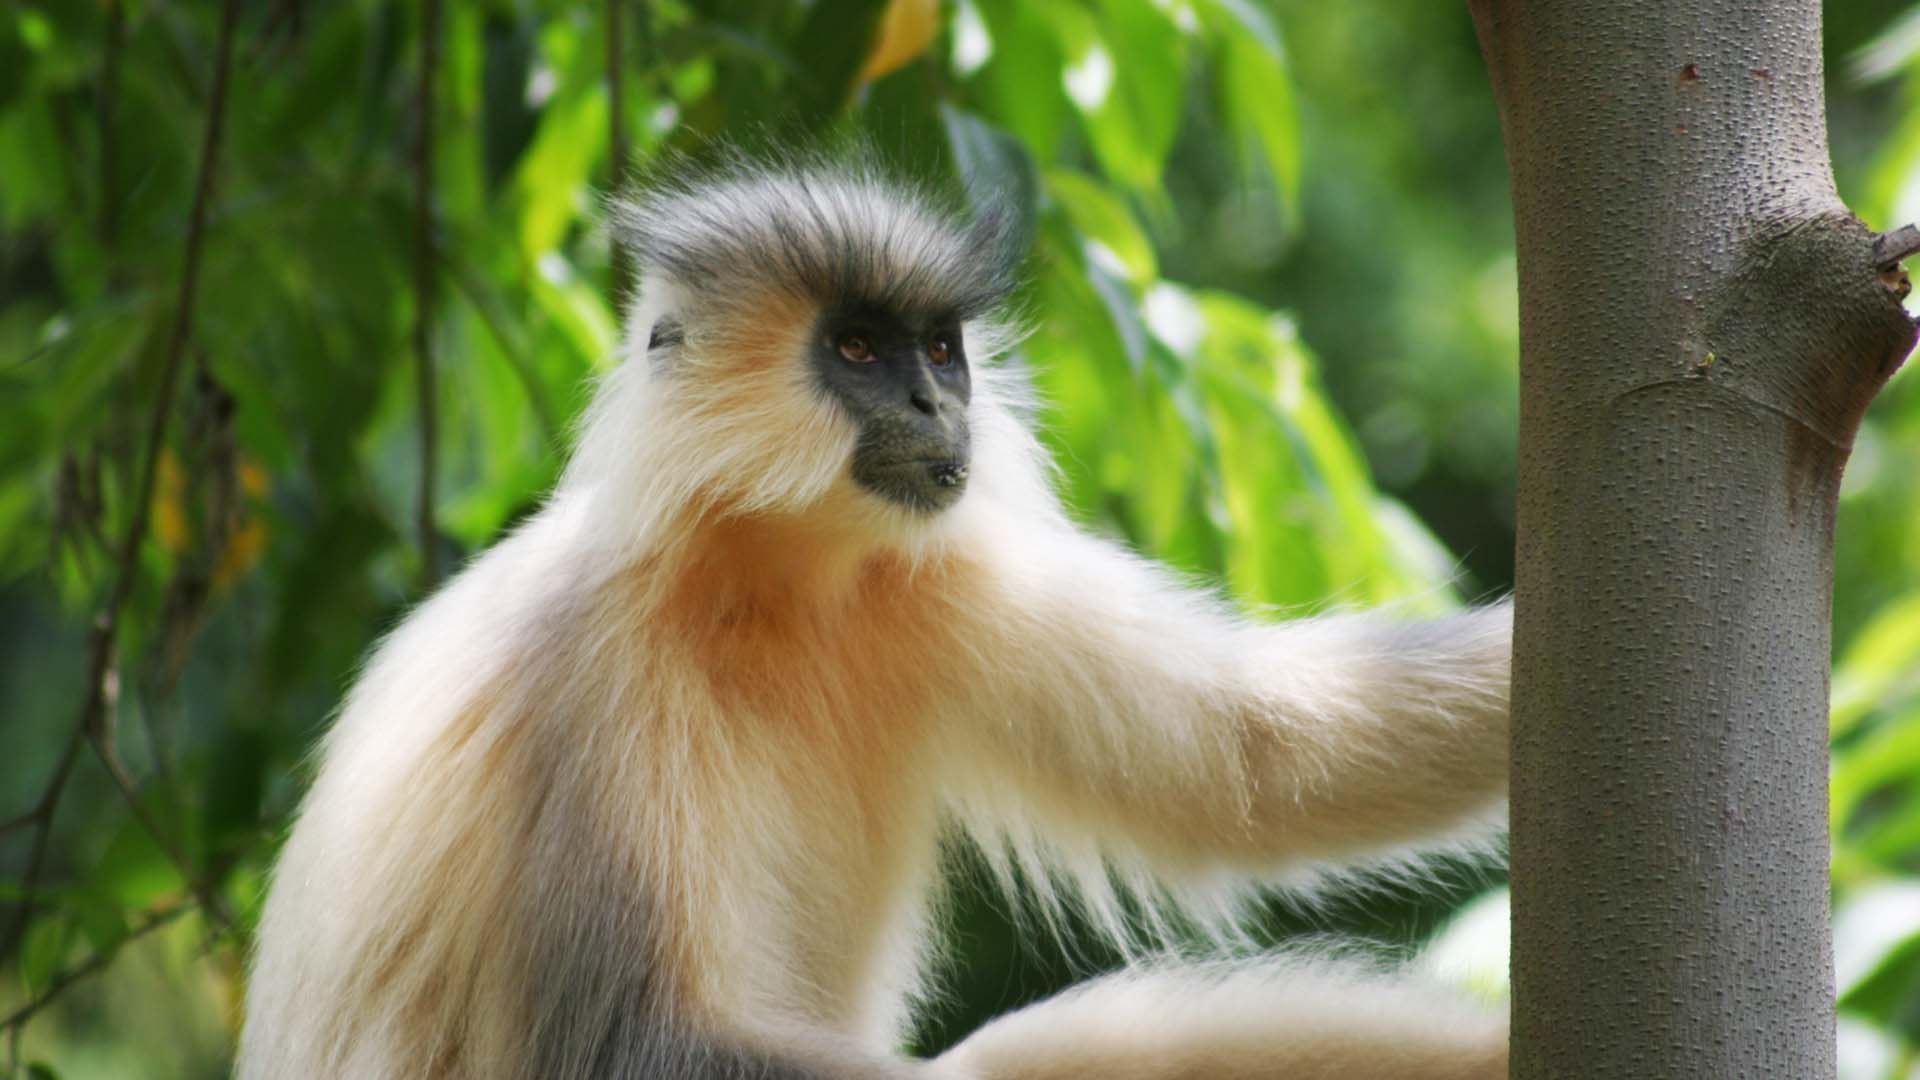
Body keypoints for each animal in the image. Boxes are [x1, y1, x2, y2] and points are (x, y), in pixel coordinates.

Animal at [236, 153, 1512, 1076]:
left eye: (940, 349)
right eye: (856, 347)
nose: (939, 405)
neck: (767, 586)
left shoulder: (935, 581)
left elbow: (1256, 763)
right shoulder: (577, 673)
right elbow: (627, 1048)